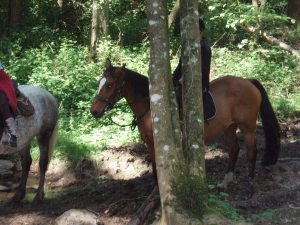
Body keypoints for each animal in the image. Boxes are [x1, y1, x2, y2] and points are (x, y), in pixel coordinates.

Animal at [90, 59, 280, 189]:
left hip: (248, 127)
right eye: (100, 83)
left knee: (252, 152)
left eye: (109, 85)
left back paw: (250, 183)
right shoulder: (150, 143)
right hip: (229, 127)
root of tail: (248, 81)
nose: (94, 111)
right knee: (234, 149)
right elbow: (155, 166)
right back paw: (225, 182)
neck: (150, 105)